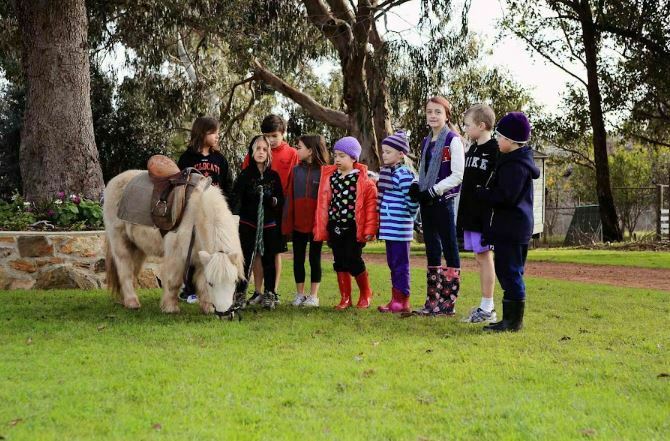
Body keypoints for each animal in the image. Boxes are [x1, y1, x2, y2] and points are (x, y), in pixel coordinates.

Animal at [103, 170, 244, 315]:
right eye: (211, 283)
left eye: (234, 281)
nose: (224, 312)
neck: (196, 214)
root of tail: (114, 180)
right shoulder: (176, 254)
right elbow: (173, 281)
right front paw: (170, 307)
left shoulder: (201, 257)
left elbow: (201, 284)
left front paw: (208, 307)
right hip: (119, 241)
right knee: (124, 268)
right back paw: (132, 302)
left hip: (137, 247)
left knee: (132, 270)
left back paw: (123, 299)